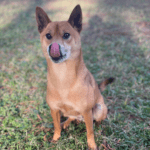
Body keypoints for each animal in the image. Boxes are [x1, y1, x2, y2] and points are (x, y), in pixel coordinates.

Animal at [35, 4, 115, 150]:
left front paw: (92, 145)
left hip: (99, 108)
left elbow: (90, 132)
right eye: (48, 35)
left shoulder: (87, 112)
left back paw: (98, 127)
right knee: (71, 117)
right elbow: (56, 126)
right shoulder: (54, 110)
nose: (52, 47)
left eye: (66, 35)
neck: (63, 76)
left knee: (97, 121)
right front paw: (55, 139)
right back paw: (65, 123)